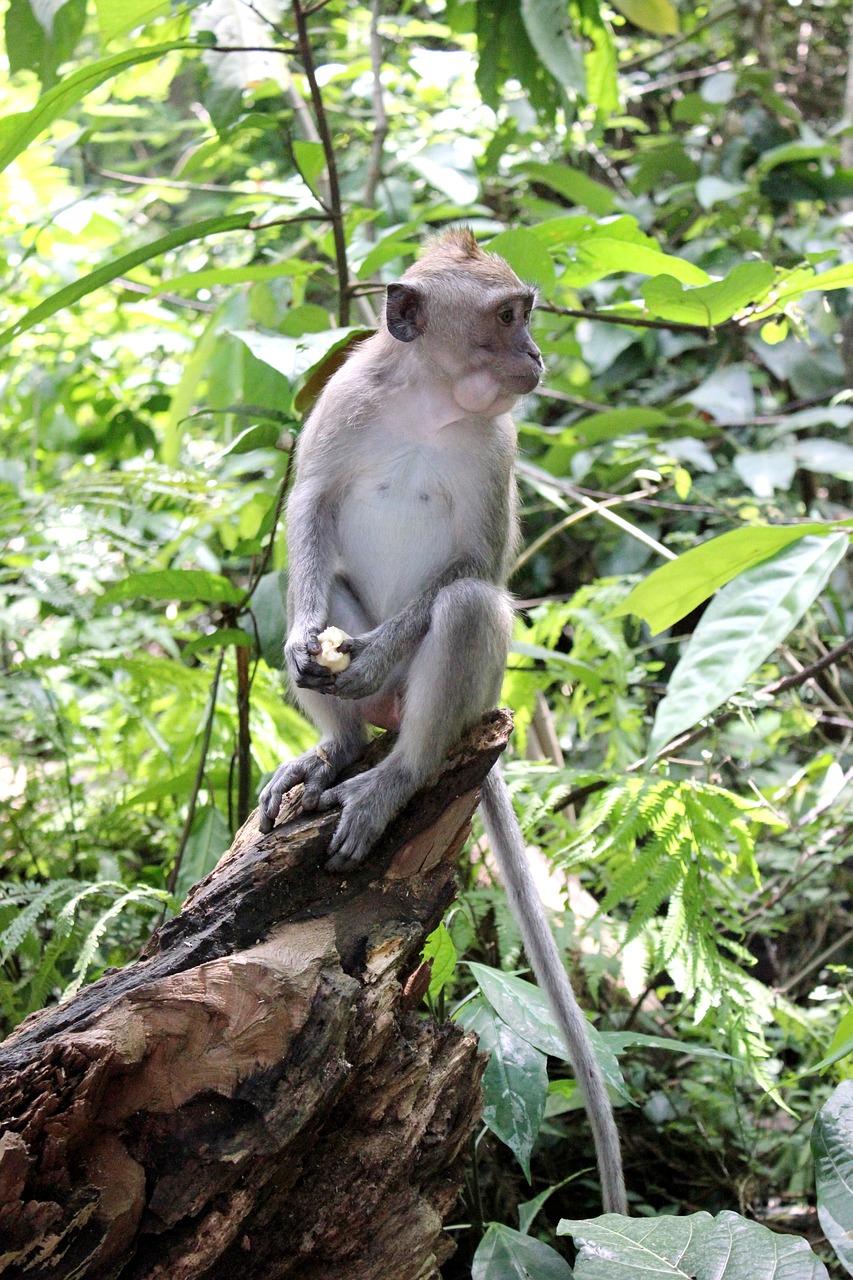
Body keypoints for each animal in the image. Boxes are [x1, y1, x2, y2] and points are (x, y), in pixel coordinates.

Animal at [257, 228, 627, 1215]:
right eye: (507, 316)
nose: (533, 355)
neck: (427, 406)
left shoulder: (498, 446)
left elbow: (473, 568)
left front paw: (374, 656)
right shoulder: (345, 396)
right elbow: (309, 507)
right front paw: (314, 645)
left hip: (472, 694)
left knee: (464, 610)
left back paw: (391, 775)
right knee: (287, 590)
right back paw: (336, 749)